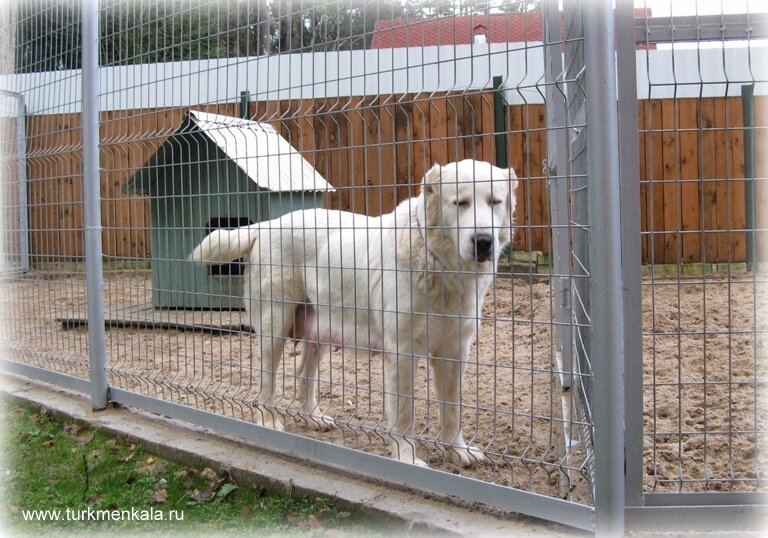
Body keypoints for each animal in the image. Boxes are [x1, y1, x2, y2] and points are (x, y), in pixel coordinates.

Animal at [189, 159, 520, 464]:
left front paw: (456, 450)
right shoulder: (402, 352)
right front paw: (406, 458)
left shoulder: (455, 350)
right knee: (265, 385)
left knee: (304, 376)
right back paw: (268, 423)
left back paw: (312, 417)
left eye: (495, 201)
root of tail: (268, 224)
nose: (483, 241)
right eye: (460, 203)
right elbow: (404, 414)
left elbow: (453, 407)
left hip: (317, 330)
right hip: (275, 328)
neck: (441, 263)